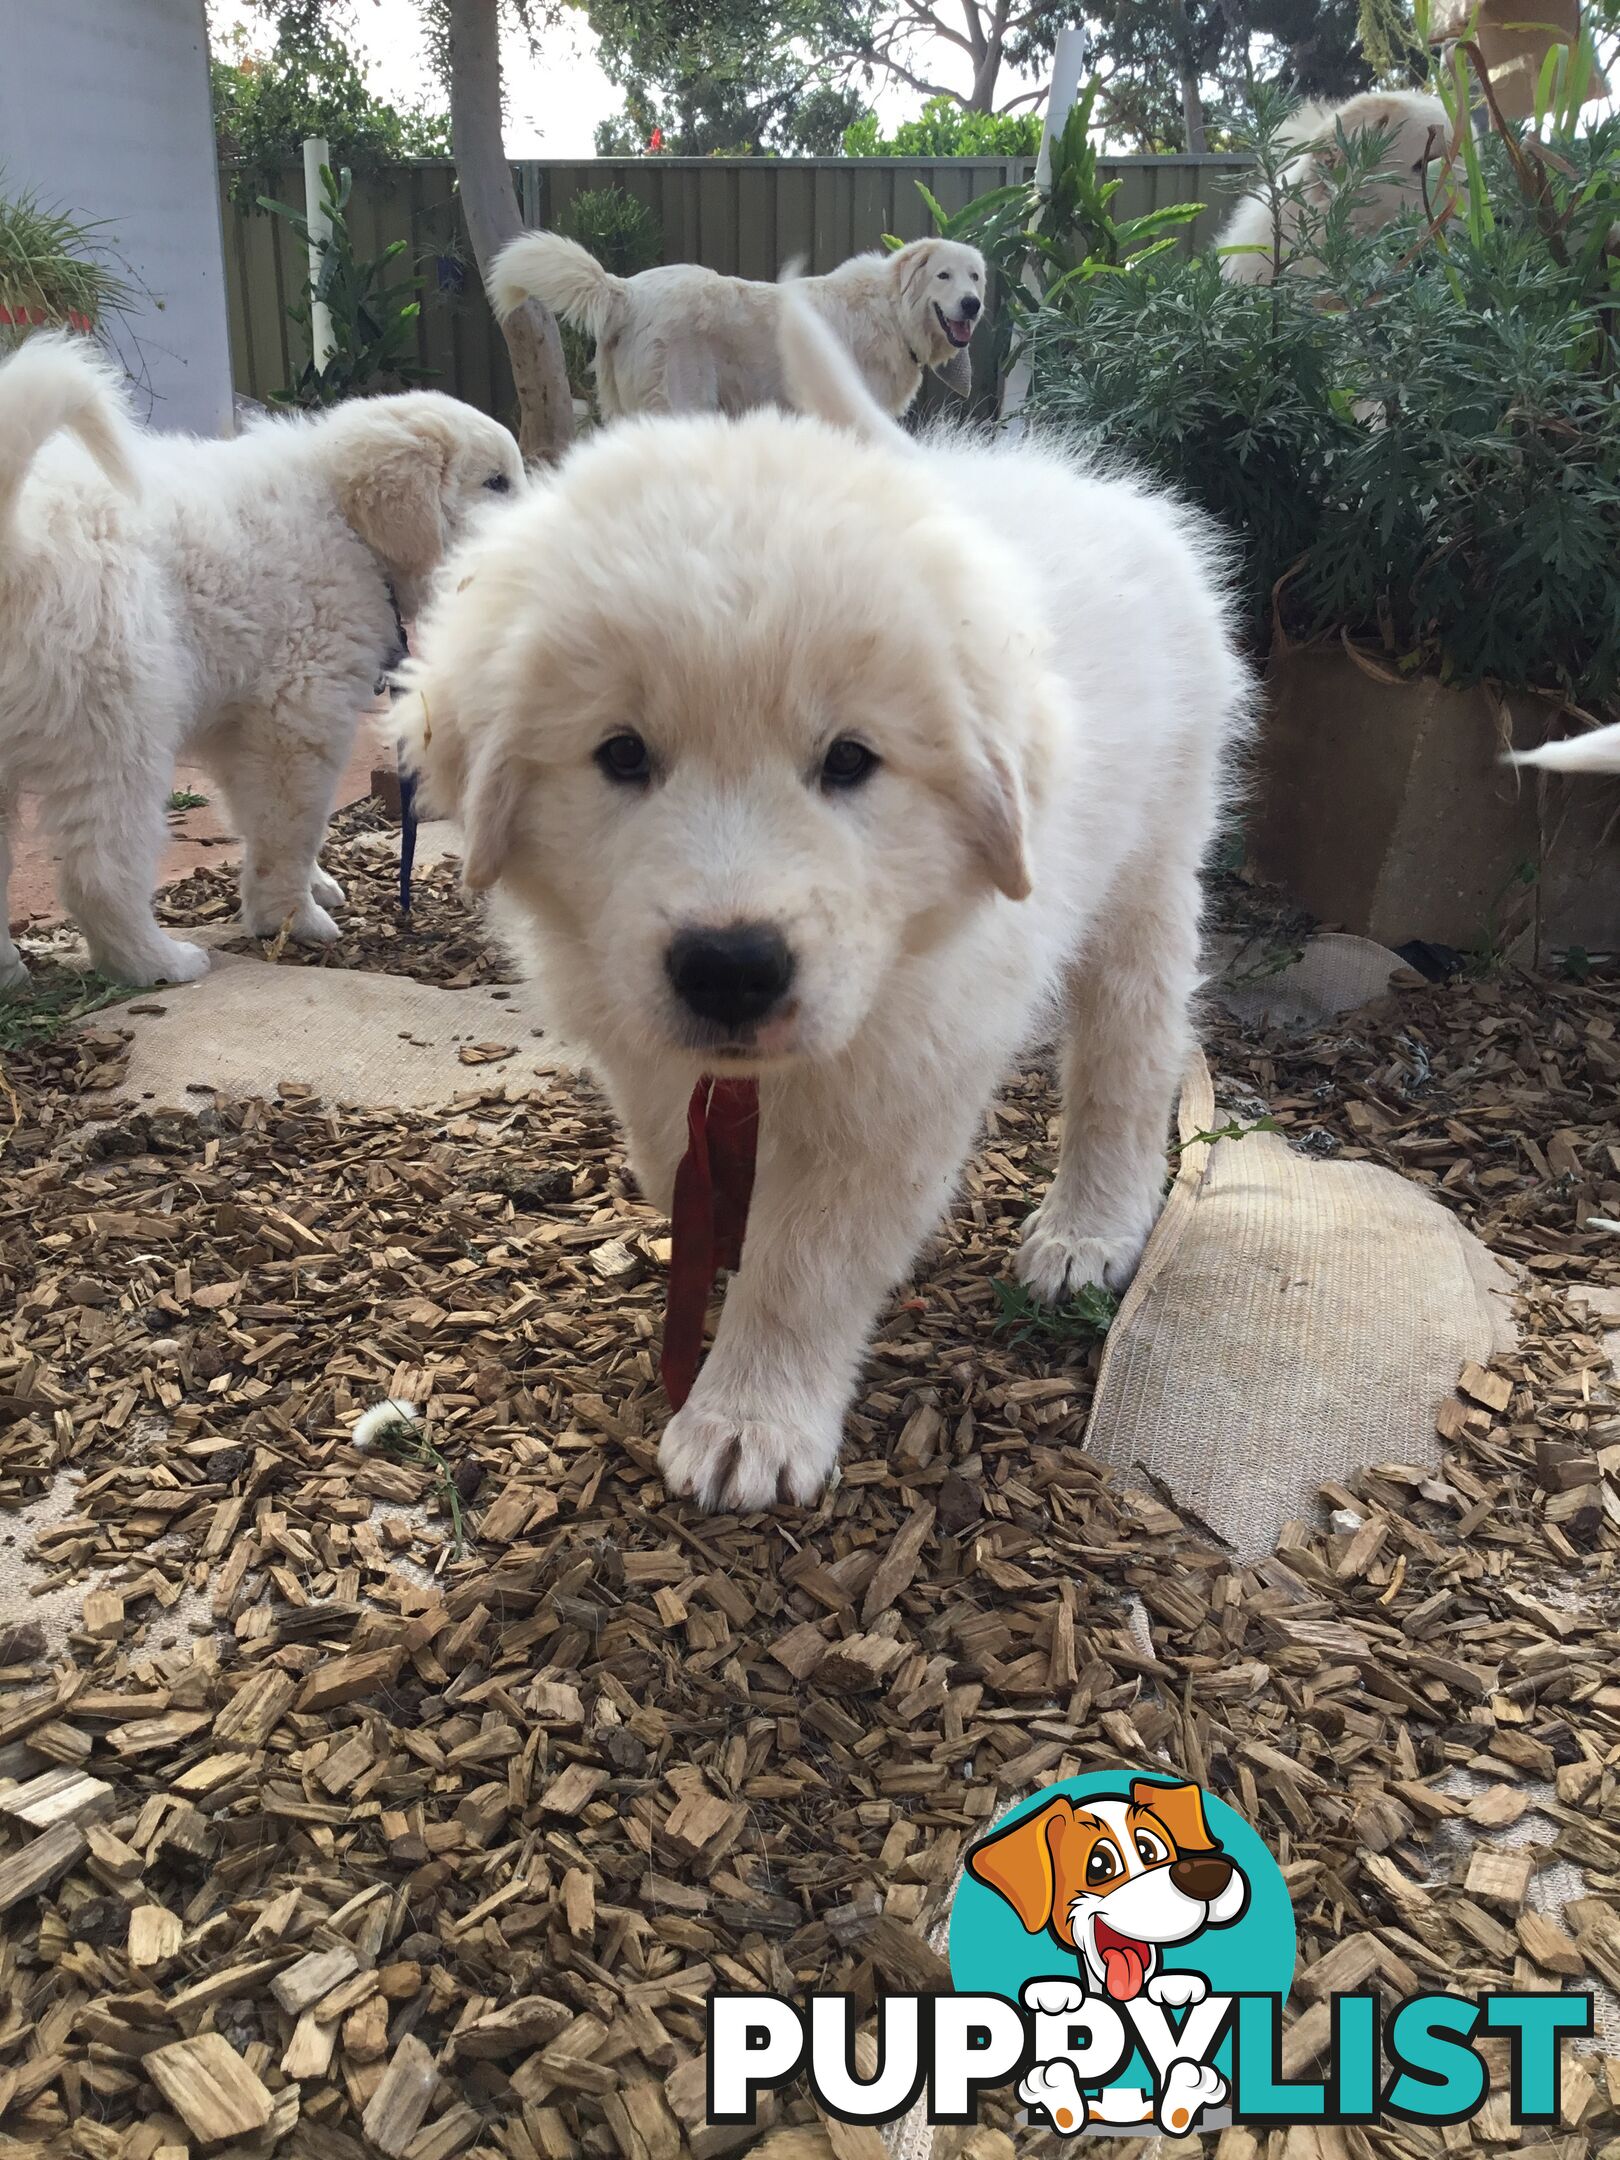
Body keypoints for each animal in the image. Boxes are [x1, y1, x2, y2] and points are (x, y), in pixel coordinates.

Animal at [0, 339, 520, 993]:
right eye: (495, 482)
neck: (343, 521)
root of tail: (17, 535)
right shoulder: (298, 718)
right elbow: (290, 828)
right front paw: (293, 918)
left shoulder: (244, 723)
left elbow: (265, 821)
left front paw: (314, 886)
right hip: (119, 728)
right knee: (100, 869)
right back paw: (156, 963)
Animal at [397, 300, 1252, 1520]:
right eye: (621, 754)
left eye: (851, 760)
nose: (731, 967)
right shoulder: (643, 1041)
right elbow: (687, 1169)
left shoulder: (900, 1079)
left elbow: (808, 1260)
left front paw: (749, 1416)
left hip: (1151, 867)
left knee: (1129, 1057)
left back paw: (1090, 1226)